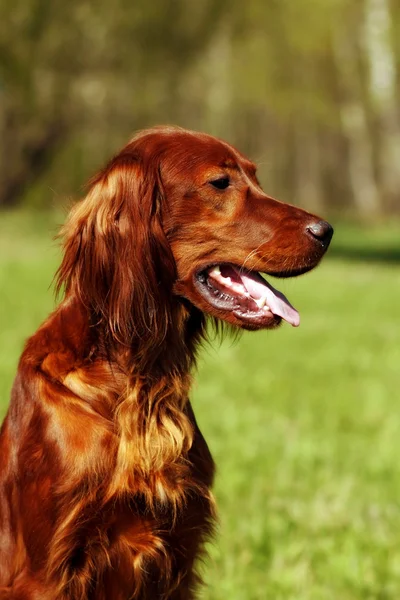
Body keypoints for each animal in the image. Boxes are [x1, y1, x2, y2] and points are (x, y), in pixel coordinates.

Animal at [0, 125, 332, 596]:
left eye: (255, 178)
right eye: (220, 183)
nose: (327, 230)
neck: (140, 381)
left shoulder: (179, 551)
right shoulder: (45, 572)